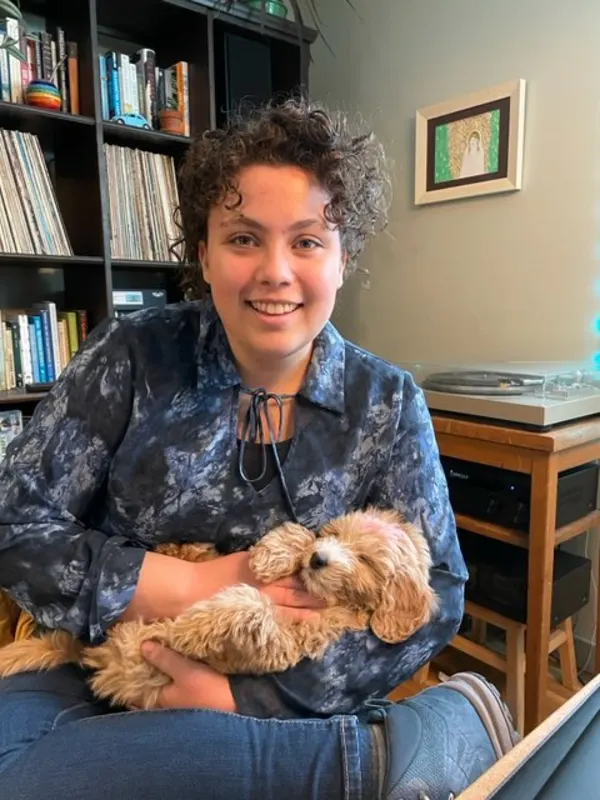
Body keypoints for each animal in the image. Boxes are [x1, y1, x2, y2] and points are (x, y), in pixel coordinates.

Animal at [0, 510, 438, 708]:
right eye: (332, 534)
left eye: (366, 560)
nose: (318, 560)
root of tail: (90, 652)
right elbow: (297, 533)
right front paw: (274, 554)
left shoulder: (287, 644)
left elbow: (251, 609)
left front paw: (188, 630)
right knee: (186, 552)